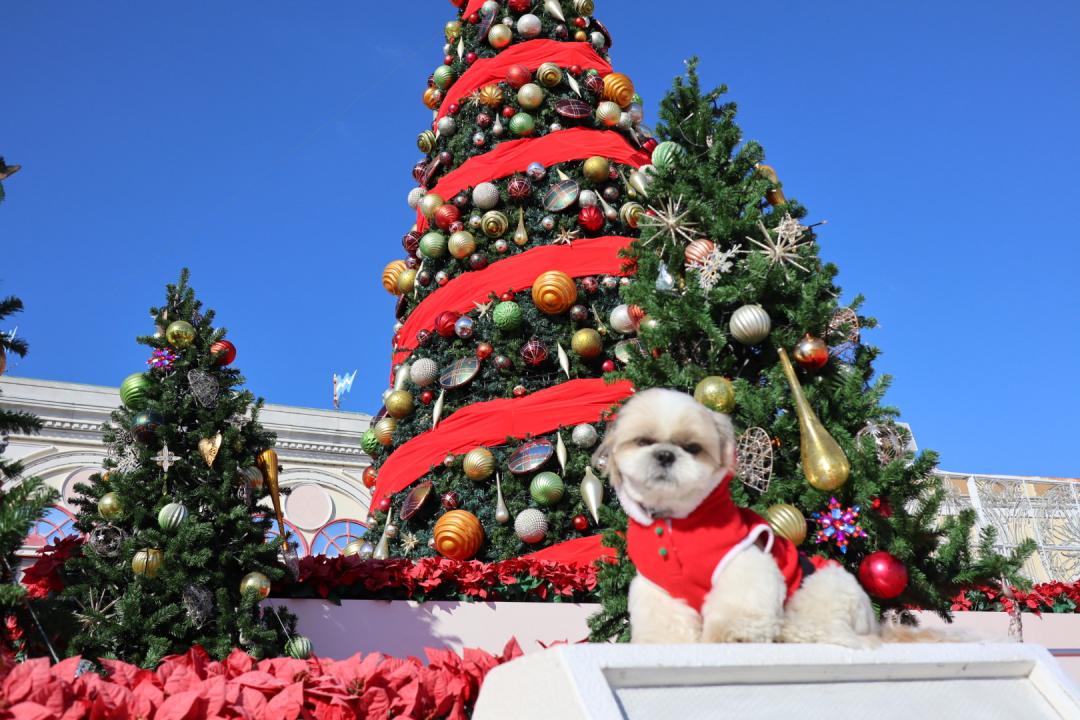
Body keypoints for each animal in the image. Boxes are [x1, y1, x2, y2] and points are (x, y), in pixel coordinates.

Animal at [596, 388, 881, 647]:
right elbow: (667, 623)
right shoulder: (660, 589)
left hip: (818, 592)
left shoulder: (744, 560)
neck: (674, 522)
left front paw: (735, 636)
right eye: (643, 441)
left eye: (692, 448)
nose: (665, 454)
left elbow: (739, 607)